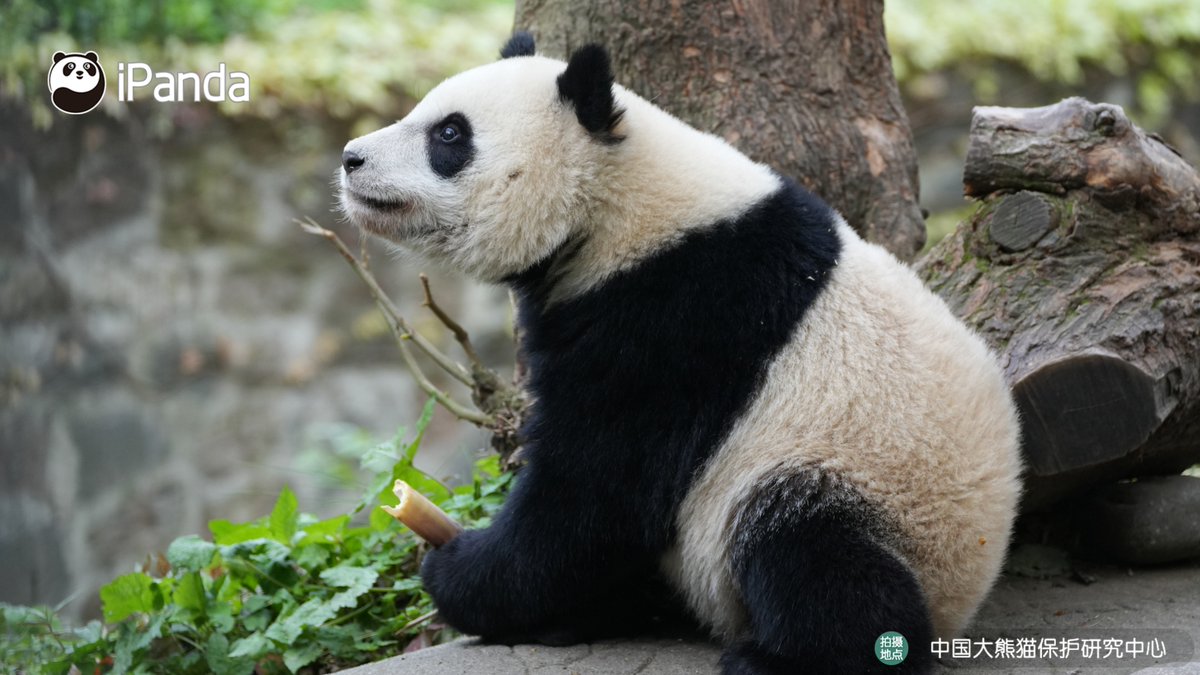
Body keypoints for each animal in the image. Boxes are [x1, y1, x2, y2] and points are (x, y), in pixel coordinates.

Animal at [340, 32, 1022, 674]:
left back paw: (778, 657)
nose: (351, 157)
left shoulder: (684, 312)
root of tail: (965, 598)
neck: (620, 202)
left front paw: (457, 573)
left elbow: (599, 488)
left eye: (449, 134)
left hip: (873, 489)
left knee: (810, 549)